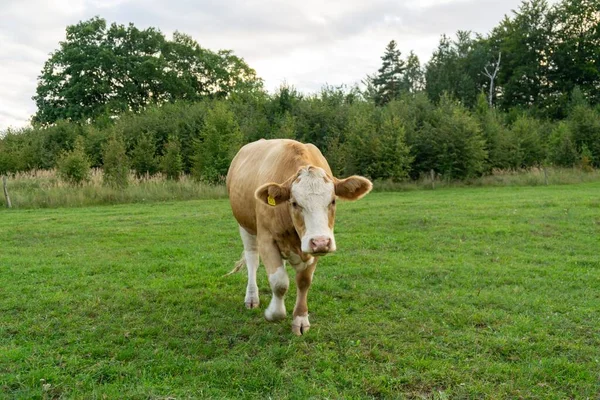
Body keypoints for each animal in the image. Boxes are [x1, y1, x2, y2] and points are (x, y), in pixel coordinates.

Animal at [227, 140, 372, 334]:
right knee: (252, 259)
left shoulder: (310, 247)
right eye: (294, 203)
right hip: (245, 226)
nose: (321, 242)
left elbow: (303, 281)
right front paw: (273, 313)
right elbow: (279, 282)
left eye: (333, 201)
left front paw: (300, 319)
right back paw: (251, 298)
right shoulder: (266, 239)